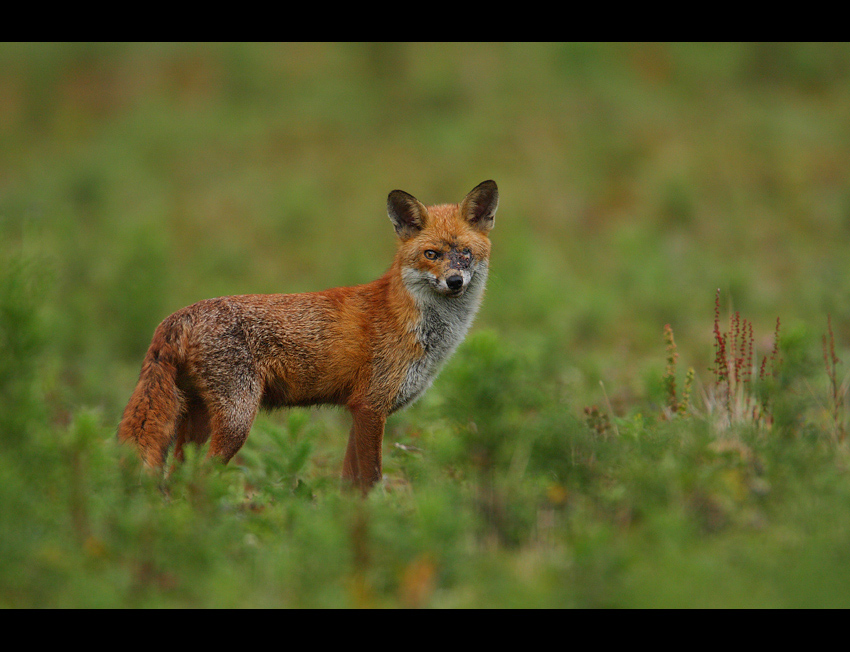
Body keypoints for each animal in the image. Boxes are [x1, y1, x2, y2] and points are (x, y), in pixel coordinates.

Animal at [116, 181, 494, 492]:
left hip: (197, 421)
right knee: (200, 479)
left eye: (465, 254)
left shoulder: (357, 410)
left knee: (176, 480)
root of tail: (177, 317)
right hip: (237, 420)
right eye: (431, 254)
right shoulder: (371, 407)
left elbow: (349, 484)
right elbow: (372, 481)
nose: (455, 282)